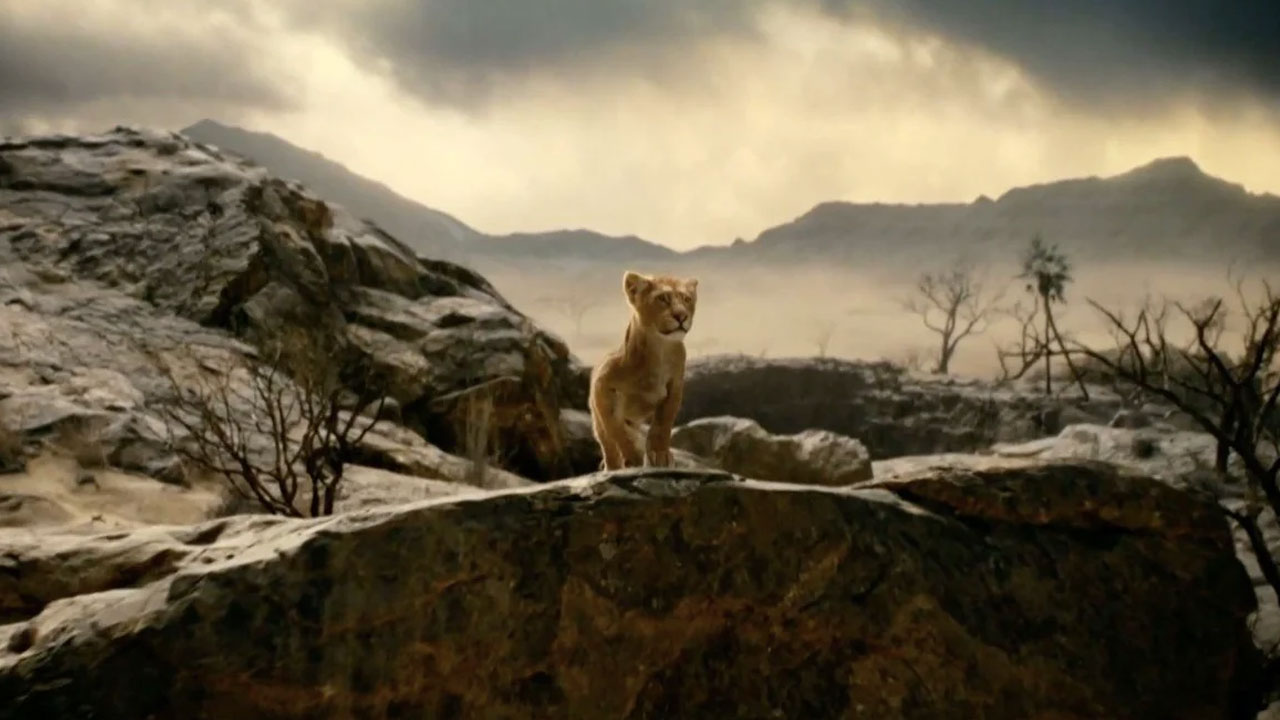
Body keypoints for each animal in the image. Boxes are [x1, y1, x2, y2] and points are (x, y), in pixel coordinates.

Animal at [588, 270, 698, 470]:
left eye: (687, 299)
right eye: (662, 298)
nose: (681, 316)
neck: (659, 350)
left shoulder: (675, 386)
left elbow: (663, 423)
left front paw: (660, 454)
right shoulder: (602, 385)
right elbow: (615, 428)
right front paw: (632, 456)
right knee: (607, 443)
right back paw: (614, 465)